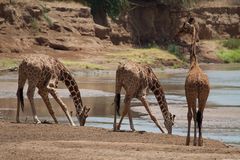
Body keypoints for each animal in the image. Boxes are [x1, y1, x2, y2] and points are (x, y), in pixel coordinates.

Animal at [174, 17, 210, 146]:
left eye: (184, 28)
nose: (176, 35)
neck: (193, 63)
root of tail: (199, 83)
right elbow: (197, 116)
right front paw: (198, 141)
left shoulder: (187, 94)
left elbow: (189, 115)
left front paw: (188, 140)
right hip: (204, 96)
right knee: (201, 115)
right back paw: (200, 141)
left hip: (193, 95)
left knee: (195, 115)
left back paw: (194, 141)